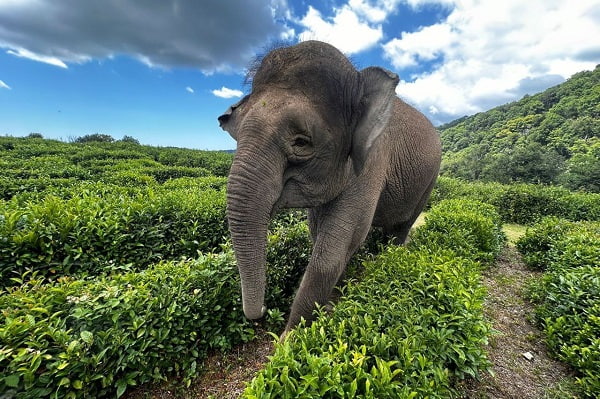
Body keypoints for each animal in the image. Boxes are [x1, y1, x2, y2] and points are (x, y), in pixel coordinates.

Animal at [219, 41, 440, 334]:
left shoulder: (372, 162)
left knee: (401, 227)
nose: (264, 311)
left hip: (431, 180)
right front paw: (334, 298)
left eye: (301, 142)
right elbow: (319, 235)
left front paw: (290, 339)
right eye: (236, 133)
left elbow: (333, 251)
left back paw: (391, 256)